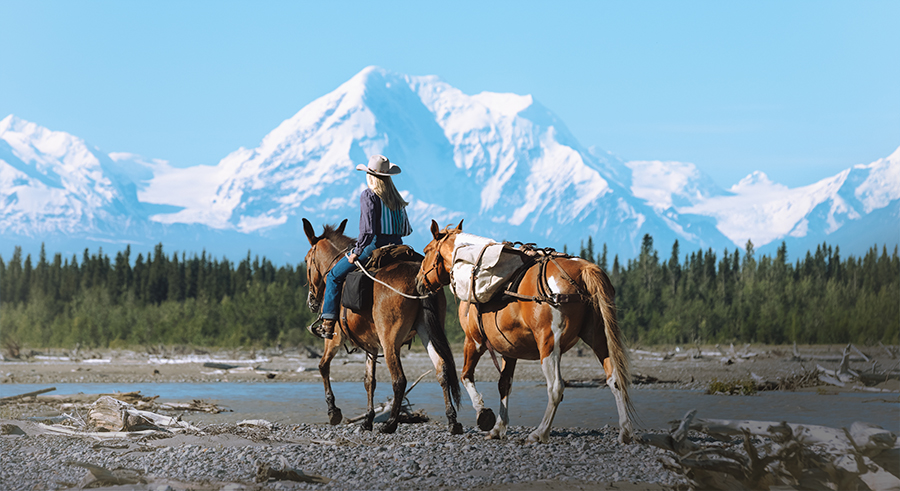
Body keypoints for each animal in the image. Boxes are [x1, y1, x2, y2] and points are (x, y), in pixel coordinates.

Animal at [304, 218, 464, 434]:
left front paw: (333, 411)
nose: (312, 300)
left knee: (399, 379)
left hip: (390, 340)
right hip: (427, 331)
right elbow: (369, 381)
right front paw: (367, 420)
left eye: (306, 260)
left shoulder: (335, 338)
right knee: (442, 369)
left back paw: (391, 423)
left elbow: (323, 366)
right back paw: (452, 421)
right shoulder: (371, 345)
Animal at [414, 221, 632, 444]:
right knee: (615, 380)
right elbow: (504, 384)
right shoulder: (509, 349)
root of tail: (583, 269)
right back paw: (625, 431)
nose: (418, 281)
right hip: (599, 339)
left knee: (556, 387)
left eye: (426, 251)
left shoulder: (473, 340)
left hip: (548, 345)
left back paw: (539, 433)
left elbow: (466, 376)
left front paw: (483, 414)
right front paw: (498, 428)